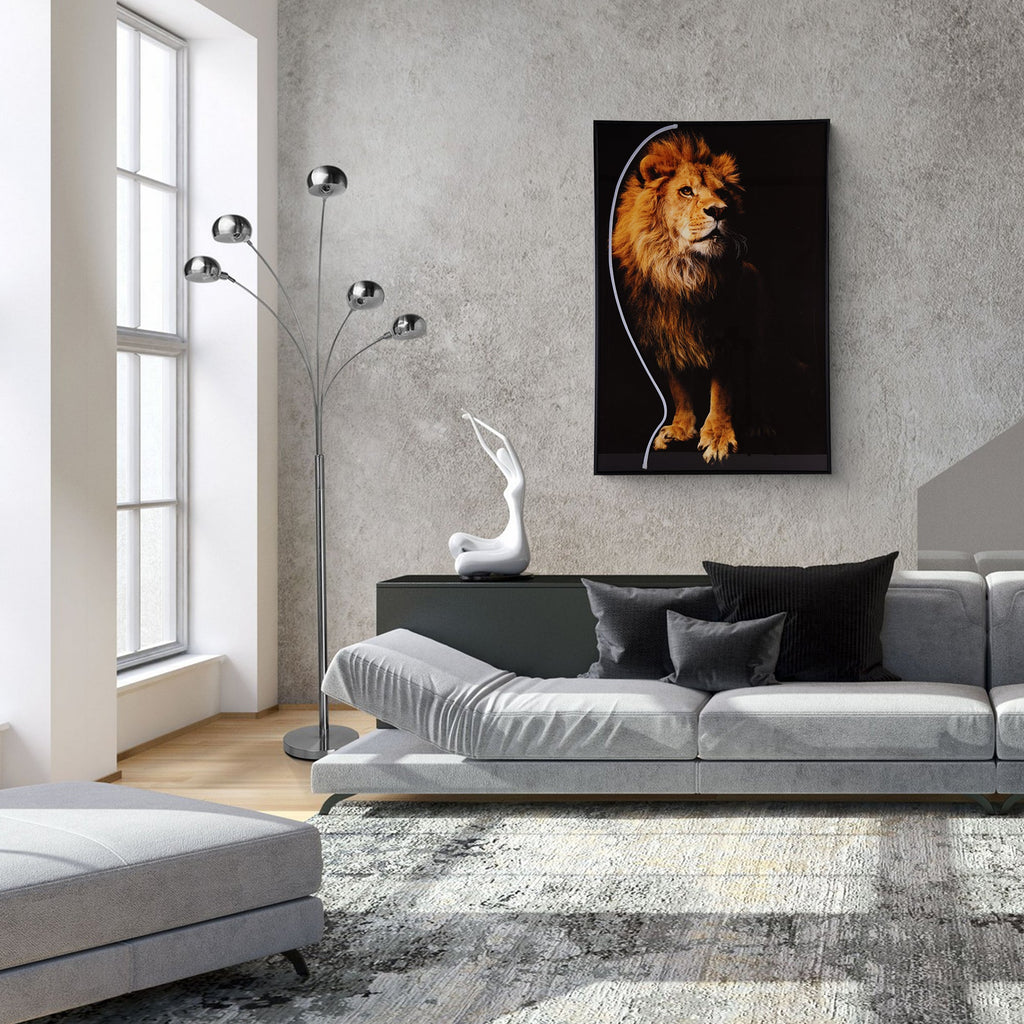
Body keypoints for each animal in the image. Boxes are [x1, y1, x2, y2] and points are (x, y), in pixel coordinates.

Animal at [611, 132, 765, 463]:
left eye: (722, 193)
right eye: (686, 191)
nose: (719, 210)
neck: (683, 271)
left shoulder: (724, 337)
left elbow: (722, 391)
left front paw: (717, 437)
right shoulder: (664, 333)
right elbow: (678, 387)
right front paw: (681, 429)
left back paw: (760, 425)